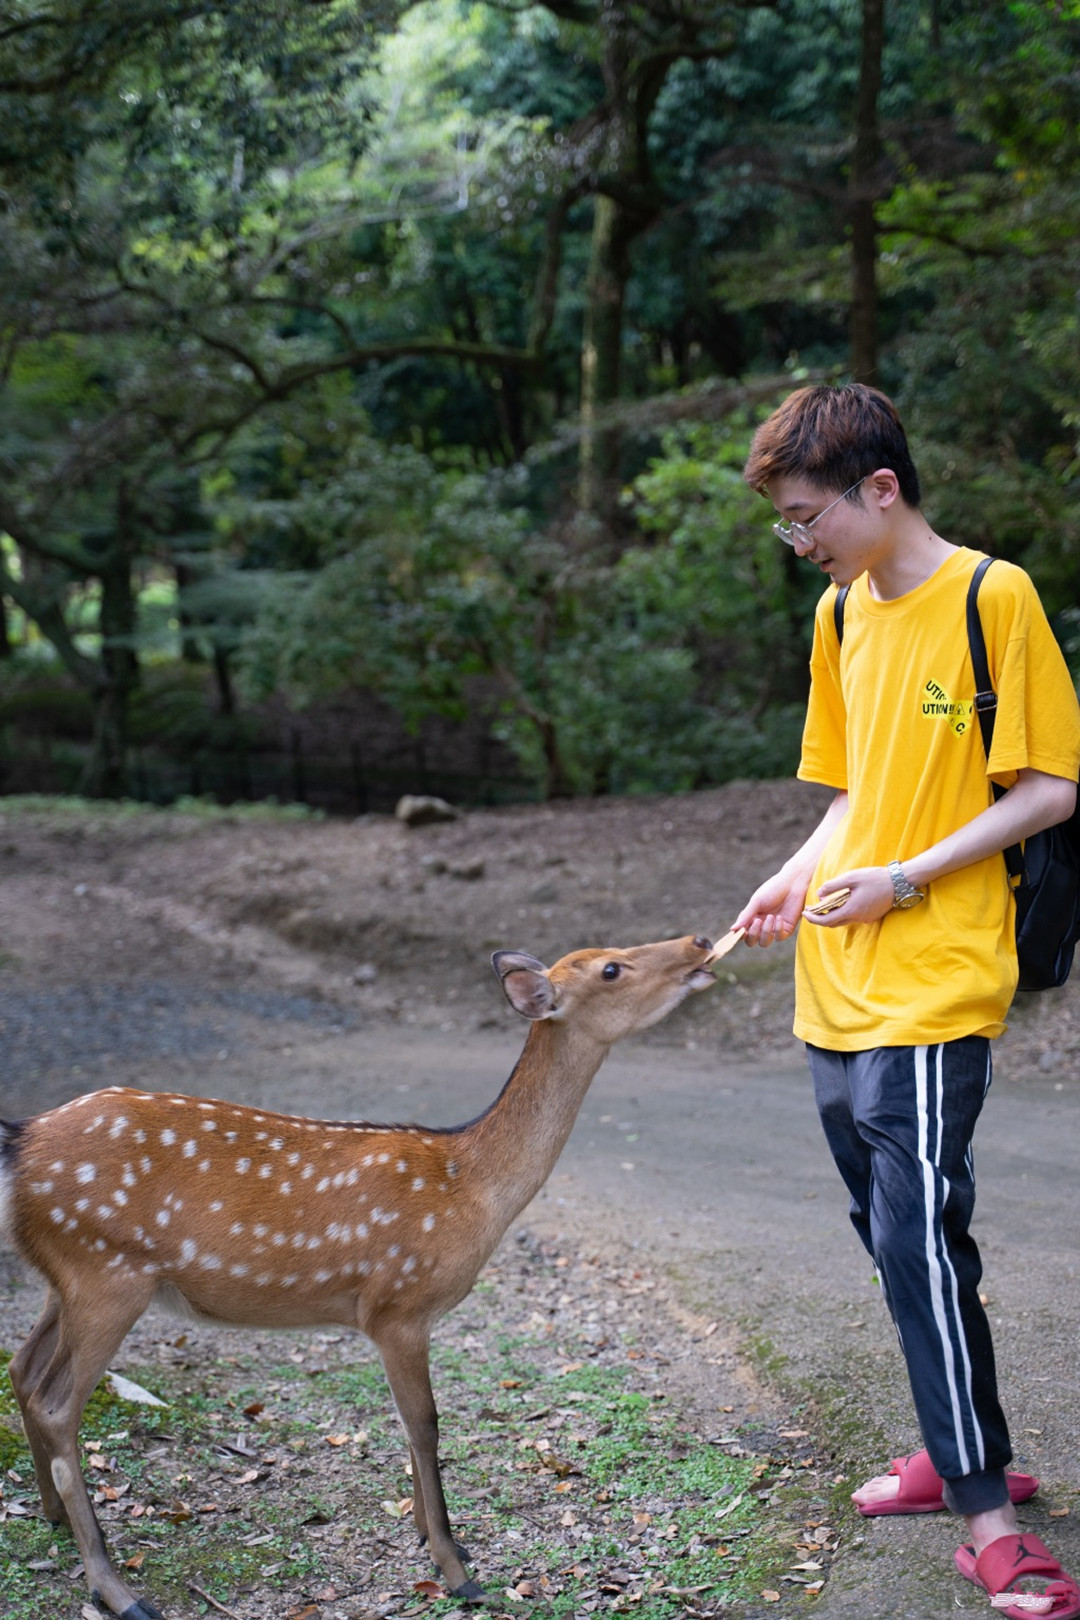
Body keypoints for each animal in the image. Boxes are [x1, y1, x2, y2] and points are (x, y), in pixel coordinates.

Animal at [0, 939, 718, 1620]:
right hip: (107, 1272)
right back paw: (117, 1589)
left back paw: (55, 1517)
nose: (699, 943)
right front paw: (457, 1571)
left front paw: (441, 1542)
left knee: (24, 1370)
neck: (473, 1186)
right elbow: (423, 1423)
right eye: (611, 969)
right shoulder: (398, 1305)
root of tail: (24, 1141)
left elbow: (411, 1424)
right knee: (59, 1402)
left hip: (66, 1276)